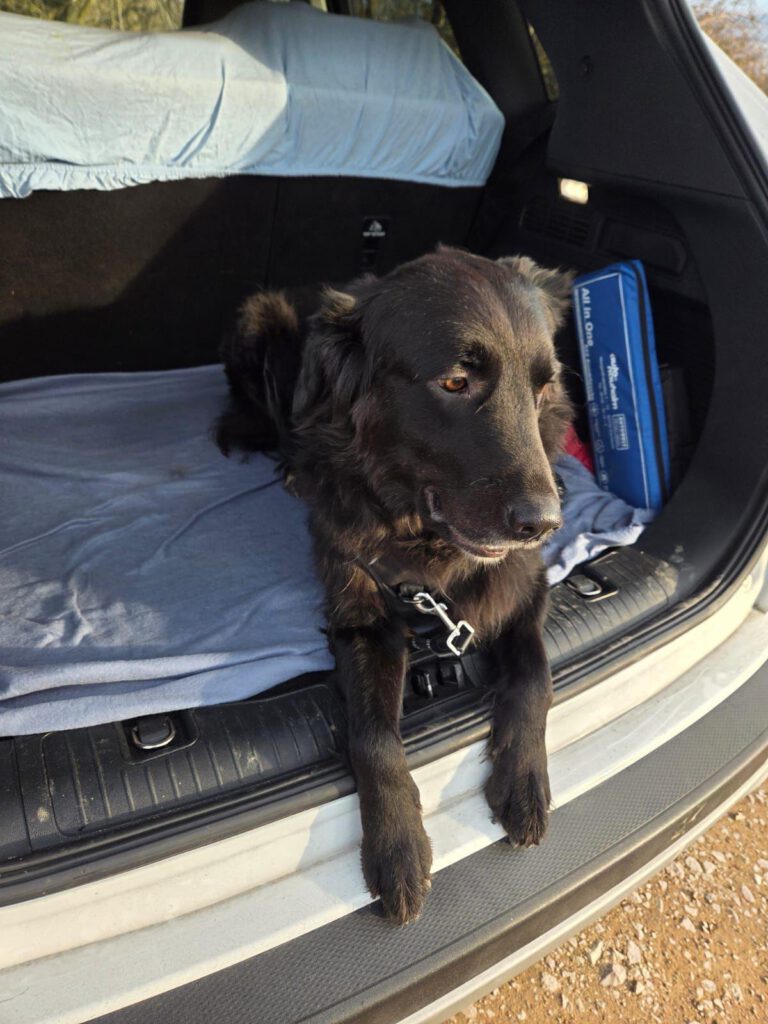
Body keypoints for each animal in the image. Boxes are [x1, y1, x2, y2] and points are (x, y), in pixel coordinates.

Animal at [217, 247, 573, 924]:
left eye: (542, 386)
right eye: (455, 382)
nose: (544, 523)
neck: (427, 544)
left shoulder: (525, 586)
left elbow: (535, 676)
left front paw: (525, 778)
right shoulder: (358, 613)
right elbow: (374, 735)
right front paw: (398, 846)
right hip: (256, 320)